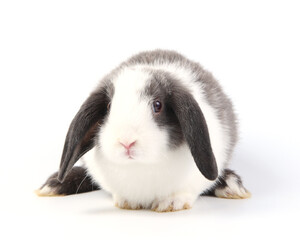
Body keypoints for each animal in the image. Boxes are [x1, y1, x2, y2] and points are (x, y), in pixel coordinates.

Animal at [36, 49, 250, 211]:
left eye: (158, 105)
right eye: (108, 107)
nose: (126, 142)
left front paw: (170, 203)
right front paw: (127, 202)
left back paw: (231, 185)